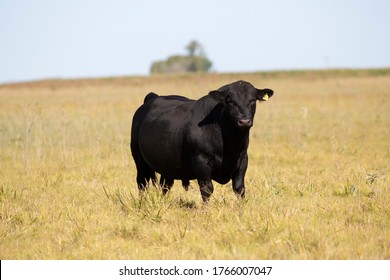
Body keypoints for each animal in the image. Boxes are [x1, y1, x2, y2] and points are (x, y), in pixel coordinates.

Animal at [131, 80, 274, 202]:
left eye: (252, 100)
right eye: (230, 101)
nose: (244, 121)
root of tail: (153, 97)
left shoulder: (242, 159)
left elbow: (239, 188)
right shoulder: (201, 161)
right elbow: (207, 189)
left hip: (167, 163)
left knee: (165, 185)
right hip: (139, 159)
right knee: (142, 182)